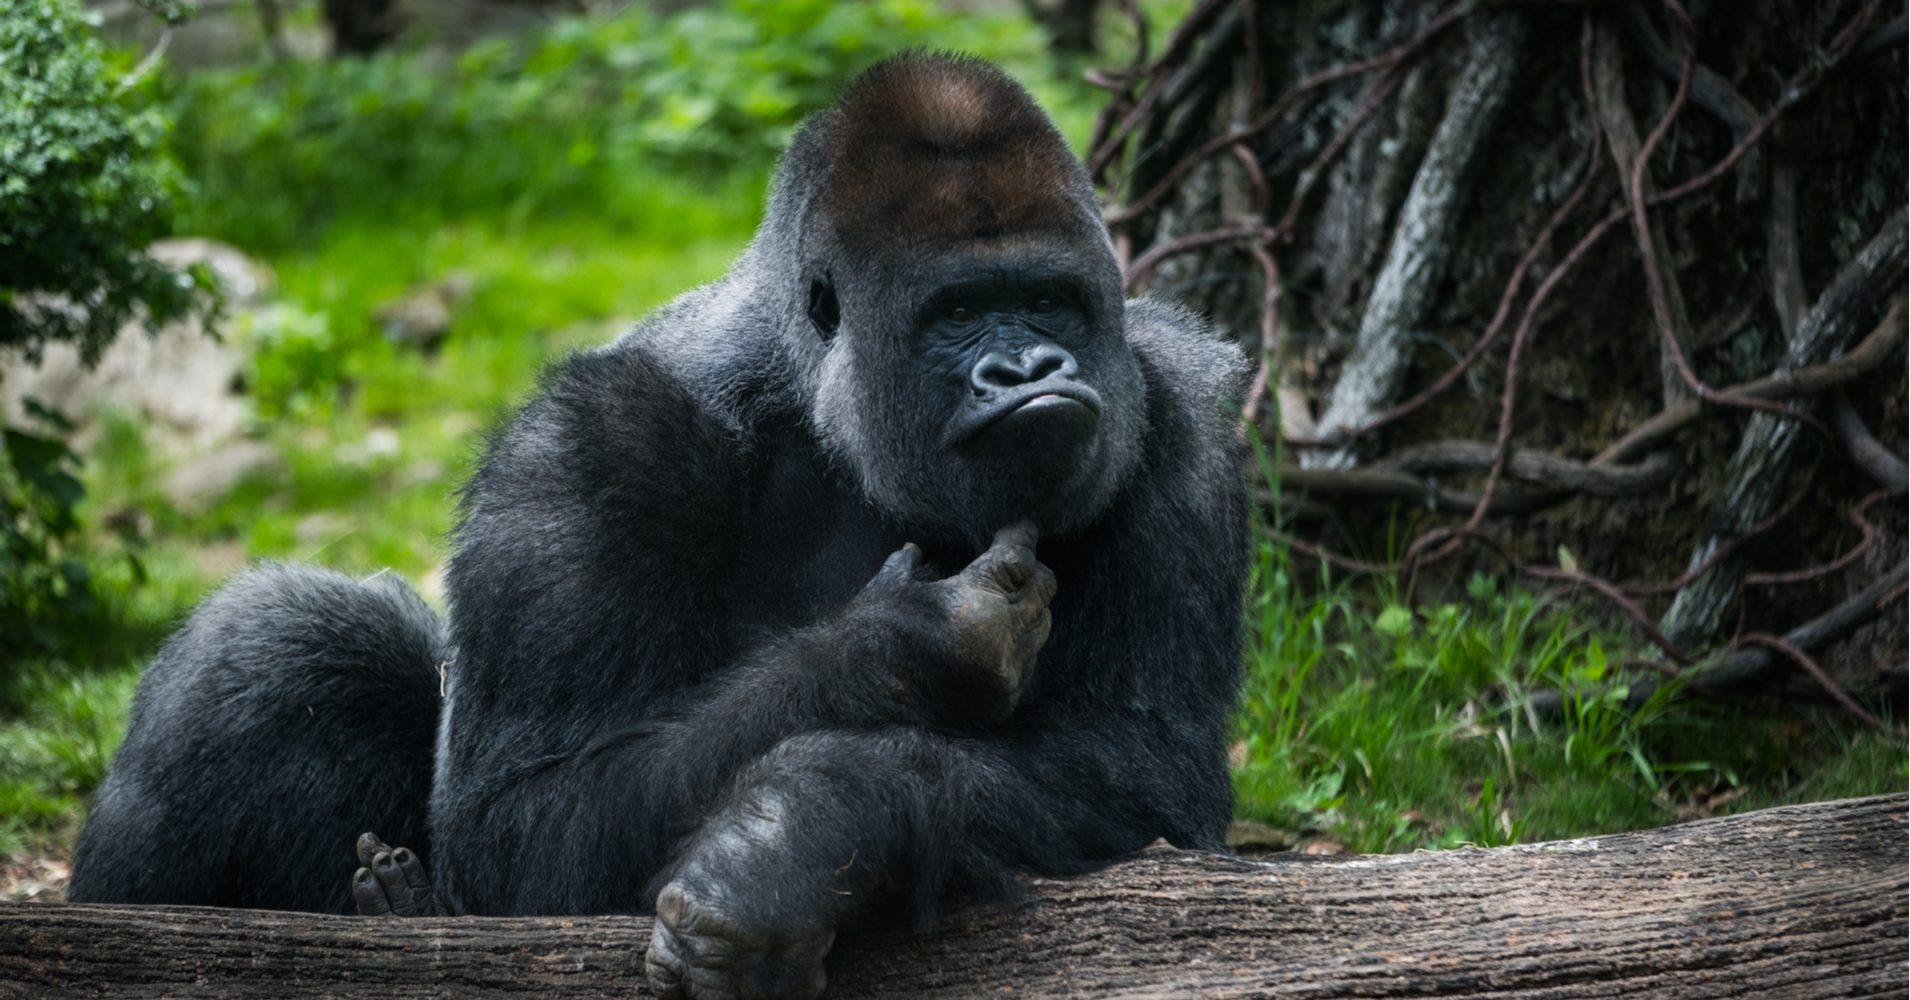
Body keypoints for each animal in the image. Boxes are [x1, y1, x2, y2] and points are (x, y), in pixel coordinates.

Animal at [68, 54, 1249, 1000]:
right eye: (957, 313)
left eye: (1048, 301)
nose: (1030, 367)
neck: (818, 395)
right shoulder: (589, 442)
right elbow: (530, 815)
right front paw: (909, 649)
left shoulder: (1182, 417)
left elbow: (1137, 773)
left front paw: (794, 834)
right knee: (285, 638)